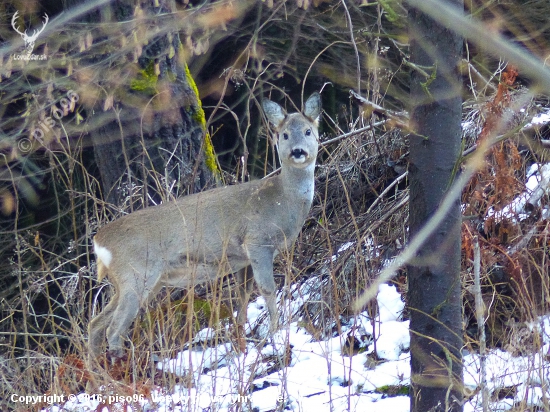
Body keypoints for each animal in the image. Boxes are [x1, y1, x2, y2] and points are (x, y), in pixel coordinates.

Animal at [89, 91, 324, 356]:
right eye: (284, 134)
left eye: (307, 131)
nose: (298, 151)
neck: (281, 202)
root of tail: (99, 242)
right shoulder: (257, 242)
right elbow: (267, 289)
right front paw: (274, 332)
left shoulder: (242, 259)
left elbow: (242, 299)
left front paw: (241, 343)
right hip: (138, 273)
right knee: (113, 329)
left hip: (128, 281)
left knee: (95, 324)